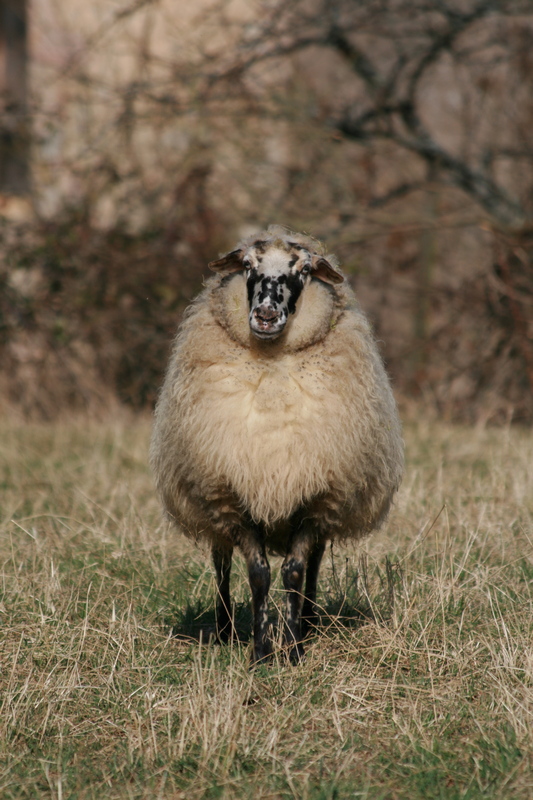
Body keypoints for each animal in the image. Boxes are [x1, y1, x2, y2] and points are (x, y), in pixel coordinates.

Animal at [150, 223, 404, 664]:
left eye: (303, 269)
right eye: (248, 264)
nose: (266, 314)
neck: (272, 369)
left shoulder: (317, 495)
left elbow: (295, 572)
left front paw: (295, 645)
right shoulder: (233, 494)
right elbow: (258, 573)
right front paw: (260, 651)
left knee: (313, 565)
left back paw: (310, 621)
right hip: (211, 503)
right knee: (221, 566)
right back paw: (224, 628)